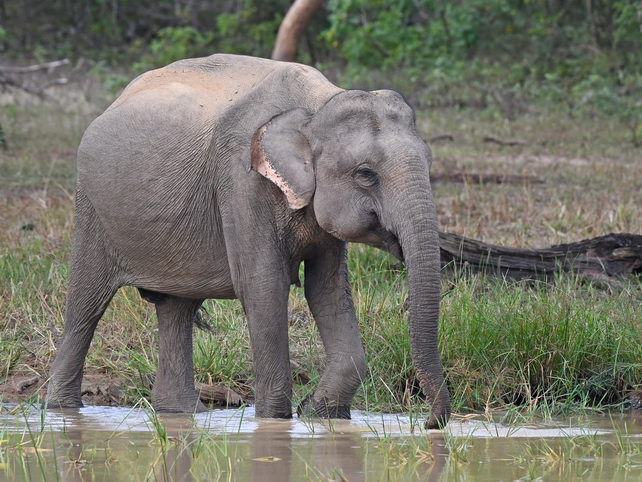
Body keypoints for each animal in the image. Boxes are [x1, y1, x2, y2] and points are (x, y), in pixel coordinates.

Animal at [47, 53, 450, 430]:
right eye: (365, 174)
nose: (430, 423)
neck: (317, 103)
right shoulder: (241, 181)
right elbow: (263, 286)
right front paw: (277, 421)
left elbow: (327, 290)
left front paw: (321, 415)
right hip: (91, 210)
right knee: (85, 307)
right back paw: (61, 411)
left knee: (176, 308)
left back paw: (181, 413)